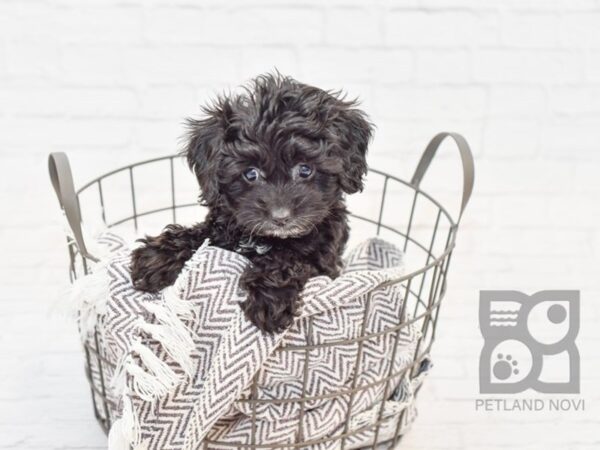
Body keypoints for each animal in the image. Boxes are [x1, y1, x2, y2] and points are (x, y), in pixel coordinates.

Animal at [131, 74, 372, 332]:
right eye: (251, 173)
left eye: (305, 169)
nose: (280, 217)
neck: (266, 239)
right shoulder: (223, 227)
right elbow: (201, 234)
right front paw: (157, 257)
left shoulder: (324, 261)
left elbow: (289, 258)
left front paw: (270, 298)